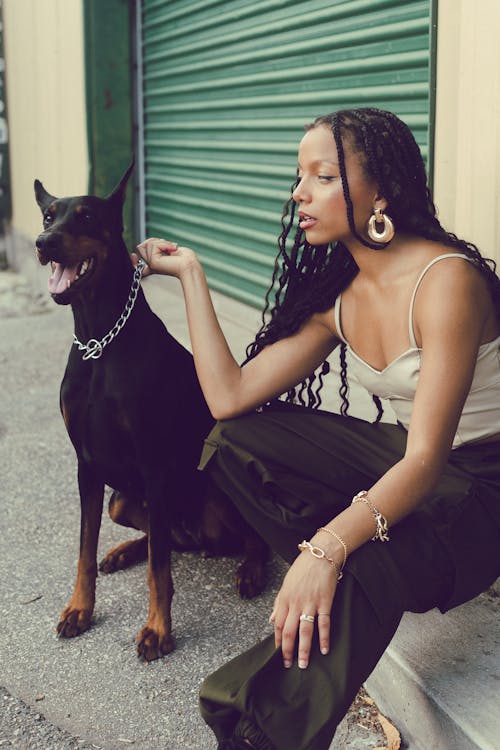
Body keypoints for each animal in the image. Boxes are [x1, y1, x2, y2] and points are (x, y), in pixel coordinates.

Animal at [34, 166, 270, 664]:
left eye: (86, 217)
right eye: (48, 215)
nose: (44, 242)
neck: (99, 341)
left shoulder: (154, 464)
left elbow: (160, 571)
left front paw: (158, 630)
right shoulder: (86, 465)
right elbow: (84, 551)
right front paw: (79, 609)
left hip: (213, 486)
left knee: (244, 540)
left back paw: (250, 571)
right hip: (121, 499)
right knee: (163, 540)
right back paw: (123, 551)